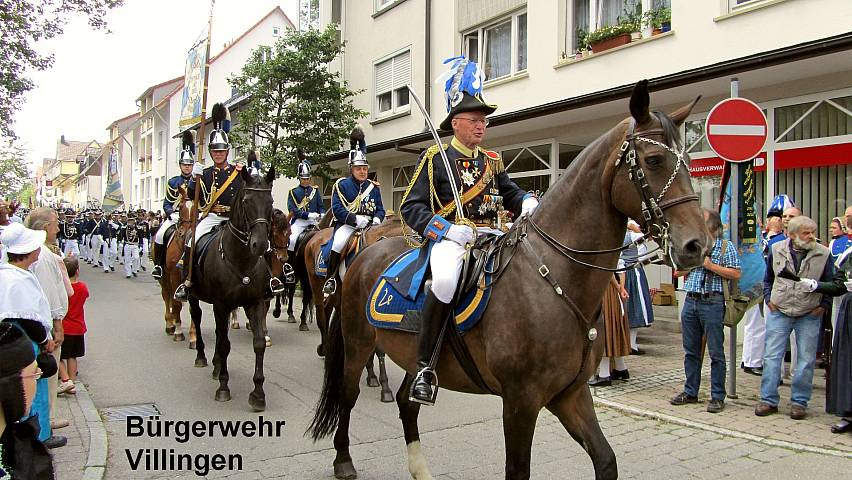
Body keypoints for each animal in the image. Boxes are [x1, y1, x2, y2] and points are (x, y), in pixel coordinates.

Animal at [187, 167, 278, 410]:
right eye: (246, 201)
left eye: (270, 201)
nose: (260, 244)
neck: (241, 259)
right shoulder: (221, 305)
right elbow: (225, 344)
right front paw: (223, 387)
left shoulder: (255, 303)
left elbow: (258, 343)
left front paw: (258, 393)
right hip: (194, 297)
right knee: (198, 320)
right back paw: (202, 357)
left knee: (220, 334)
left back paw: (217, 365)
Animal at [310, 80, 708, 478]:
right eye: (653, 160)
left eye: (689, 161)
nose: (696, 245)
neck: (554, 278)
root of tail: (364, 254)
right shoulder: (521, 401)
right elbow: (518, 470)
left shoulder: (570, 394)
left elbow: (605, 460)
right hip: (358, 343)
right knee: (347, 395)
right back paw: (343, 459)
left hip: (412, 355)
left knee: (407, 405)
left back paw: (420, 466)